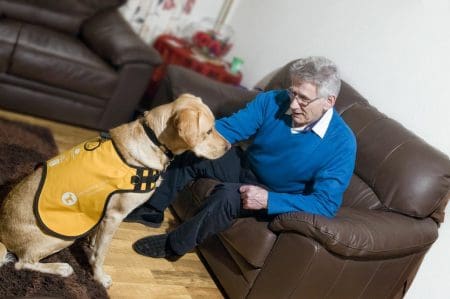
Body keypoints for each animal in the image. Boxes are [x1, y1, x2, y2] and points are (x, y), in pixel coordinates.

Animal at [0, 94, 229, 288]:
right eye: (208, 131)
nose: (229, 147)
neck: (152, 139)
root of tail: (3, 234)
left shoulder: (102, 212)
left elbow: (96, 240)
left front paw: (90, 247)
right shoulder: (115, 215)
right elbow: (102, 253)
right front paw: (99, 277)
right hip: (62, 237)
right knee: (22, 263)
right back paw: (60, 267)